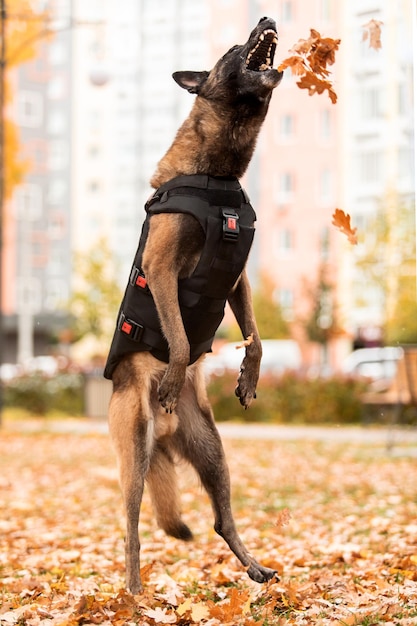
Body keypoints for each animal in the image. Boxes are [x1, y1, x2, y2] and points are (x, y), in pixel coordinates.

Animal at [105, 17, 282, 592]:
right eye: (232, 47)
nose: (267, 19)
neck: (218, 175)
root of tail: (165, 433)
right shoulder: (161, 268)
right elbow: (180, 336)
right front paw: (175, 370)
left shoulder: (237, 280)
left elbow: (255, 336)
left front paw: (249, 375)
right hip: (135, 455)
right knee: (133, 527)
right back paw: (135, 592)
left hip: (214, 454)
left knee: (222, 518)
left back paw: (254, 567)